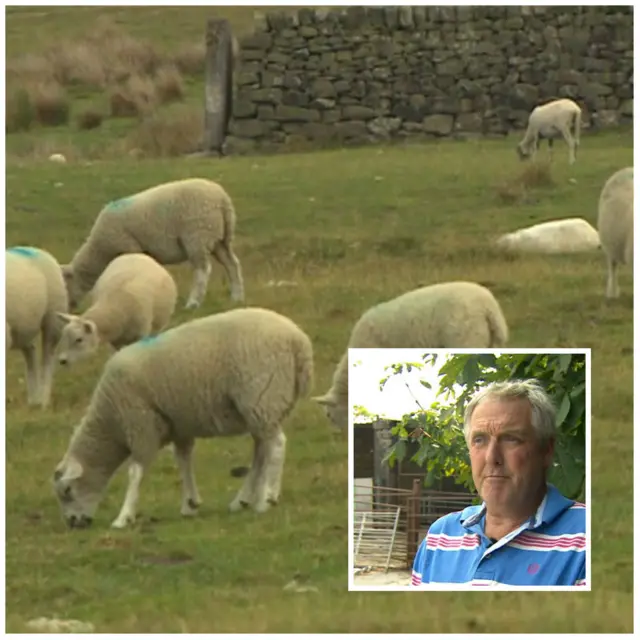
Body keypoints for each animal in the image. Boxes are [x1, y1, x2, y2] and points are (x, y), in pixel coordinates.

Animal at [5, 248, 69, 408]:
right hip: (24, 327)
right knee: (31, 353)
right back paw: (33, 400)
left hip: (53, 318)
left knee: (47, 359)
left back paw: (43, 402)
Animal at [51, 306, 314, 528]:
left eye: (67, 491)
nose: (73, 523)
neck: (110, 423)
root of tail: (298, 341)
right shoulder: (178, 426)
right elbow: (184, 461)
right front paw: (190, 503)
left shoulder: (140, 425)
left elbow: (135, 472)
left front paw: (124, 517)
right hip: (261, 407)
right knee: (261, 450)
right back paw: (242, 500)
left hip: (261, 397)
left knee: (276, 445)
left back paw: (267, 499)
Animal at [61, 178, 245, 312]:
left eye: (65, 285)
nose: (70, 308)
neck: (100, 251)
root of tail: (222, 199)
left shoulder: (128, 246)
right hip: (220, 239)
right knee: (232, 264)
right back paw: (237, 296)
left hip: (197, 236)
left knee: (202, 271)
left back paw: (193, 303)